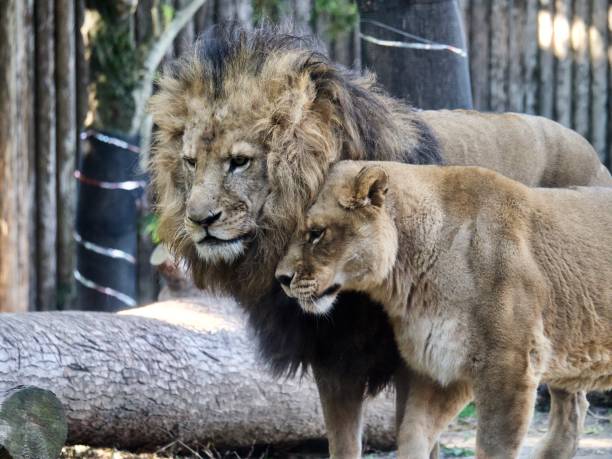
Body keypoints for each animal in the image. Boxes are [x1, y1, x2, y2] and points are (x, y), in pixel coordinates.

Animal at [278, 160, 612, 458]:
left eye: (316, 232)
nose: (281, 278)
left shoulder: (510, 366)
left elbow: (494, 448)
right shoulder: (444, 365)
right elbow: (413, 433)